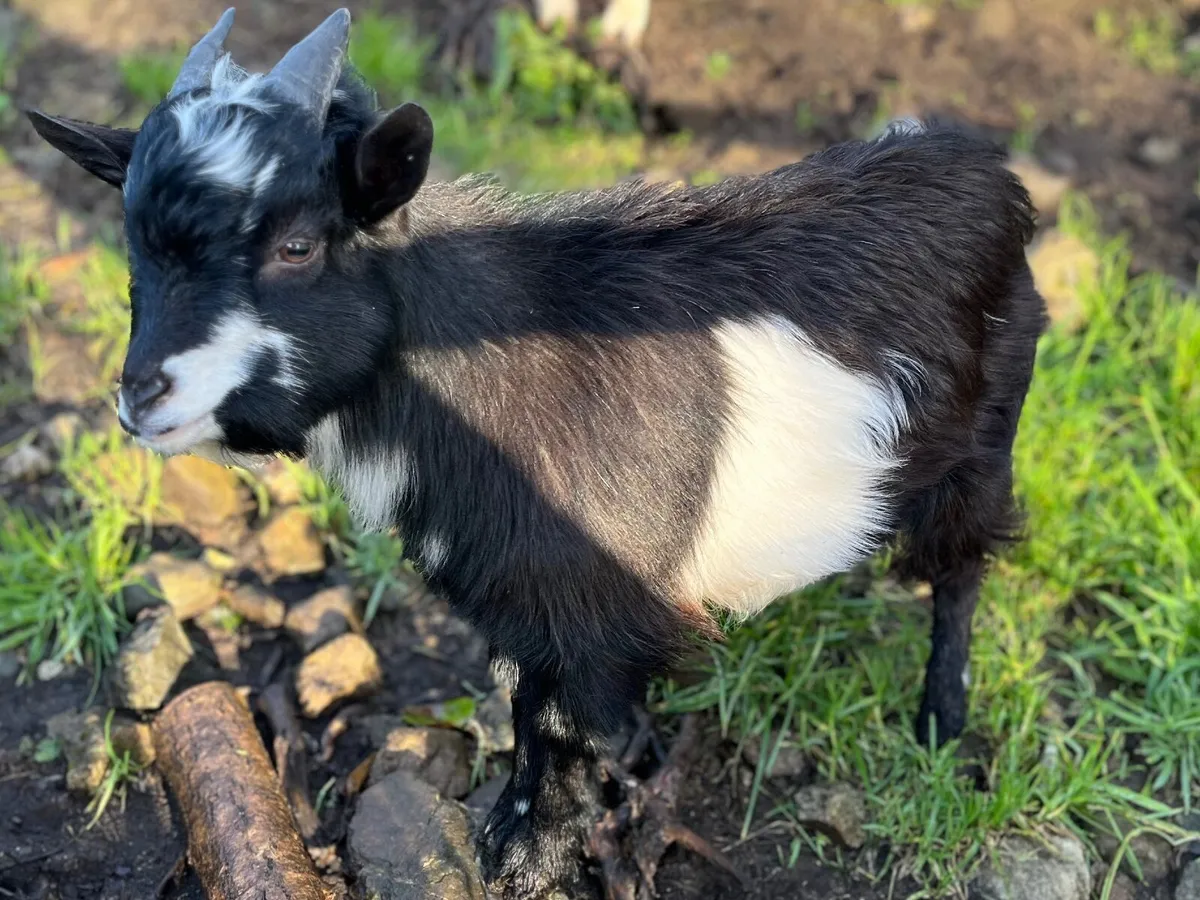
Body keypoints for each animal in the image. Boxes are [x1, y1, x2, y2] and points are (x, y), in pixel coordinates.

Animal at [26, 8, 1048, 897]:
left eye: (299, 245)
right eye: (132, 253)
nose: (141, 396)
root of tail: (978, 163)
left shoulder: (582, 603)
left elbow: (556, 725)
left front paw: (527, 860)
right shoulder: (525, 603)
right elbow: (530, 708)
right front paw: (565, 800)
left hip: (982, 448)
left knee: (961, 573)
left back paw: (941, 721)